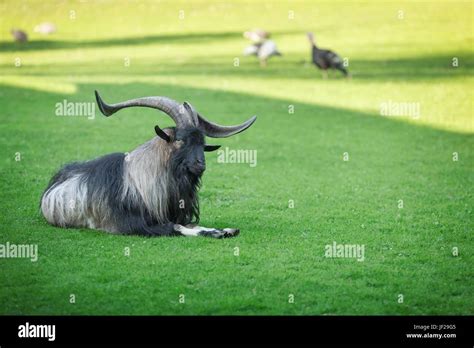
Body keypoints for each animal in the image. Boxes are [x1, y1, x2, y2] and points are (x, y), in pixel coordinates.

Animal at [39, 91, 256, 238]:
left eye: (202, 144)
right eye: (180, 140)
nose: (200, 164)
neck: (141, 180)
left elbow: (187, 224)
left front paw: (227, 229)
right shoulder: (130, 224)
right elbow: (174, 227)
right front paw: (218, 233)